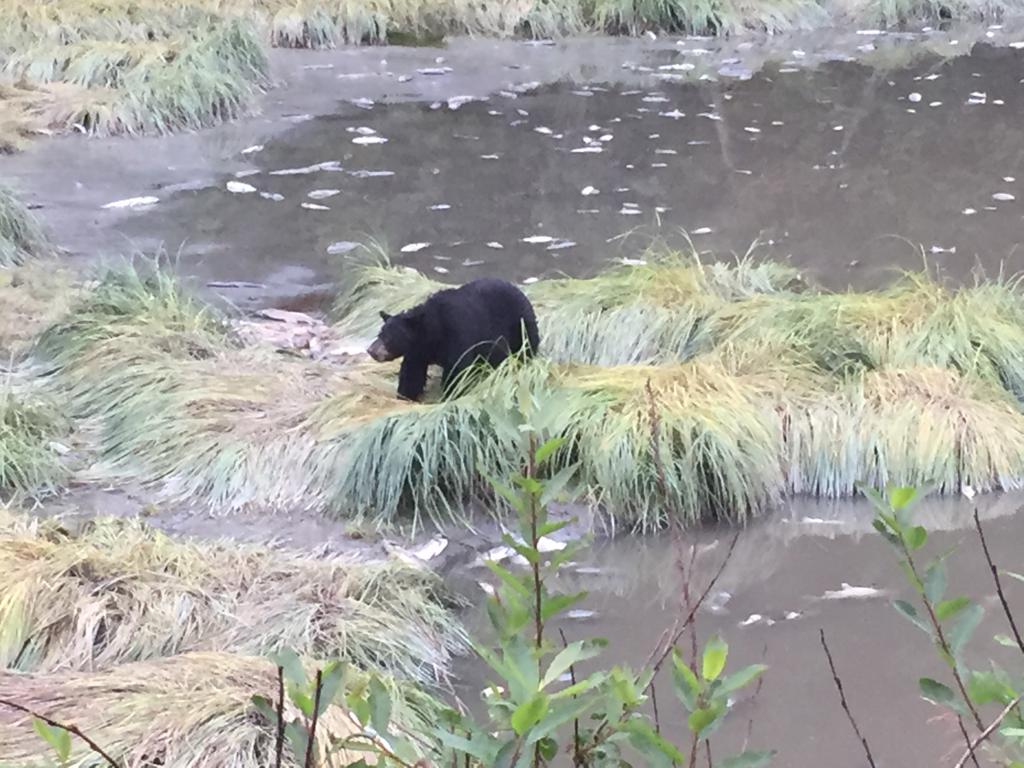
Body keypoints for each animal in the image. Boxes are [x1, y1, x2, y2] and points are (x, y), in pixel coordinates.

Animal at [370, 280, 544, 403]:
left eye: (388, 337)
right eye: (380, 333)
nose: (371, 350)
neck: (432, 330)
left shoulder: (457, 333)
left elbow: (457, 368)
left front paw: (450, 395)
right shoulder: (418, 350)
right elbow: (411, 372)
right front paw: (405, 395)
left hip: (521, 327)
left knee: (524, 350)